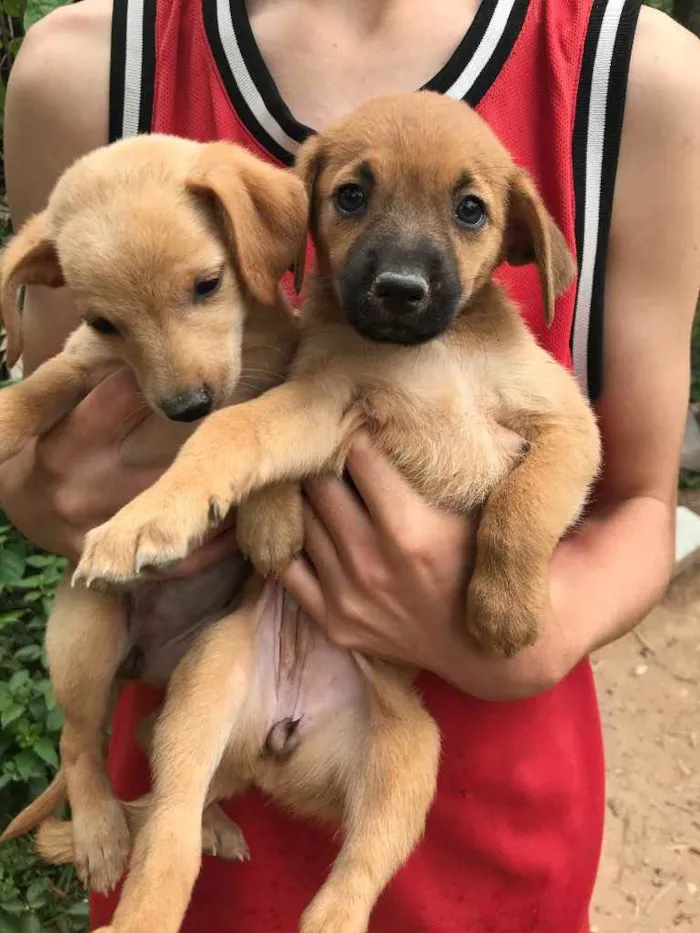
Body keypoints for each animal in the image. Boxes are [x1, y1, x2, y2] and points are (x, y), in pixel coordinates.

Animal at [0, 137, 306, 888]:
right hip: (87, 633)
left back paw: (210, 821)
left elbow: (263, 426)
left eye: (208, 283)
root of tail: (141, 665)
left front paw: (271, 516)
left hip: (195, 661)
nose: (188, 407)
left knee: (147, 739)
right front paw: (5, 417)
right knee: (81, 742)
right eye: (106, 321)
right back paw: (100, 833)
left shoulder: (282, 369)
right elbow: (45, 382)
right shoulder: (86, 358)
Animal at [54, 93, 600, 932]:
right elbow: (232, 430)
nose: (400, 289)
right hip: (203, 695)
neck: (432, 352)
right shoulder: (320, 400)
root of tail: (279, 747)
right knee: (166, 834)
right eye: (351, 195)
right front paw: (154, 518)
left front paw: (504, 607)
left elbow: (524, 500)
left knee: (349, 884)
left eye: (470, 209)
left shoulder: (567, 427)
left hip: (408, 765)